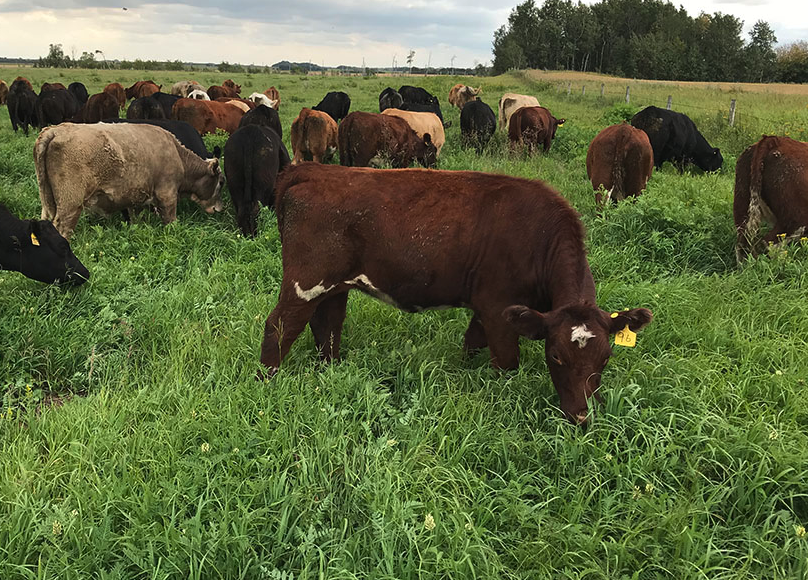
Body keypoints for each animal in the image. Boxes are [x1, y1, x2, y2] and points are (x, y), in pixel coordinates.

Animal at [35, 123, 224, 239]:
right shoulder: (167, 195)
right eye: (221, 182)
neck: (178, 155)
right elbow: (171, 221)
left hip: (50, 204)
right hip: (70, 206)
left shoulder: (135, 199)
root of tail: (55, 130)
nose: (219, 208)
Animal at [258, 163, 652, 422]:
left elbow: (471, 342)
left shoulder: (487, 308)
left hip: (335, 286)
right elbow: (506, 362)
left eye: (606, 358)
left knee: (327, 325)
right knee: (279, 326)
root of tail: (313, 169)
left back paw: (332, 370)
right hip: (305, 282)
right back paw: (267, 381)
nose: (582, 416)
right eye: (555, 356)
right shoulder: (499, 309)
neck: (539, 236)